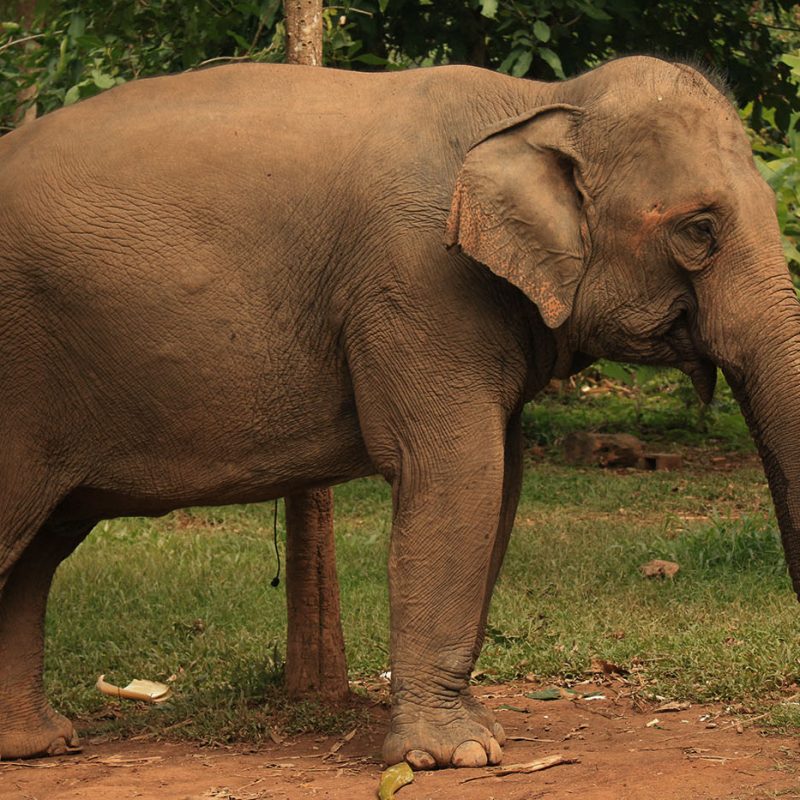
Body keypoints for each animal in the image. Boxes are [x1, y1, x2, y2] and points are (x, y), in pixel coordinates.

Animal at [1, 54, 800, 768]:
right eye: (699, 229)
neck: (541, 98)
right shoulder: (419, 284)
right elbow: (455, 473)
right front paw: (456, 755)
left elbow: (500, 483)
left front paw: (475, 732)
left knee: (41, 549)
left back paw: (40, 745)